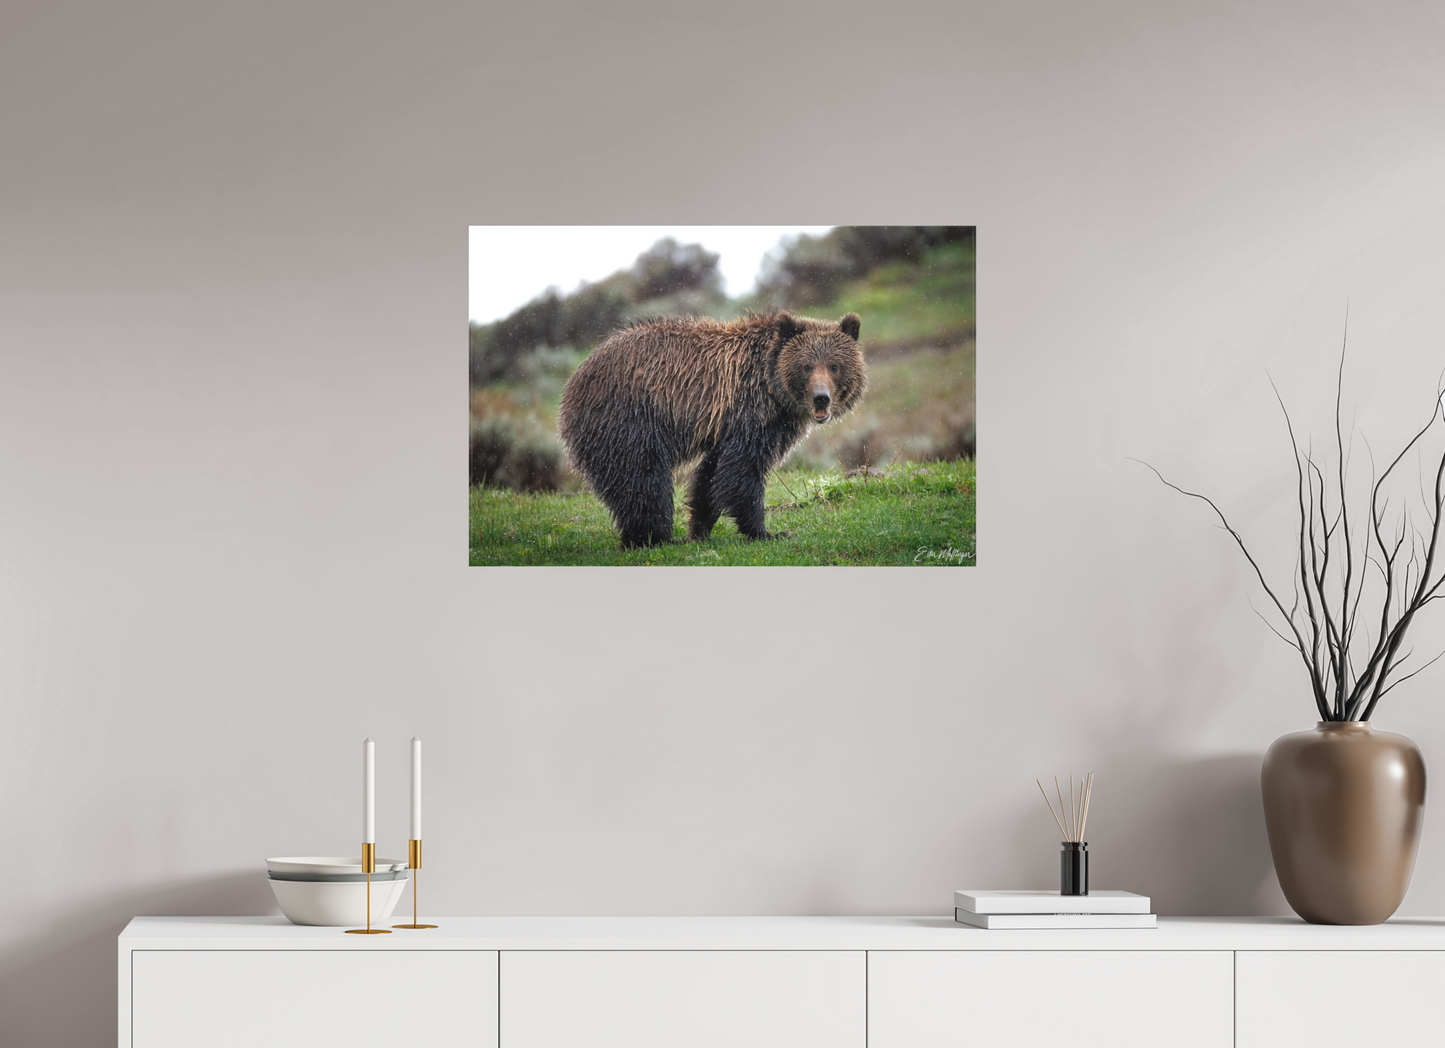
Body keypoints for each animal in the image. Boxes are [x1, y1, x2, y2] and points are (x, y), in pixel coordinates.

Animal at [558, 310, 866, 548]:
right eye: (806, 366)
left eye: (835, 366)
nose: (821, 398)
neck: (774, 390)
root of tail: (574, 381)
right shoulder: (749, 414)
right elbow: (742, 473)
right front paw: (765, 531)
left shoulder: (729, 427)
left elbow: (711, 475)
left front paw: (699, 528)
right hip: (630, 419)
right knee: (644, 479)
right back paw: (654, 538)